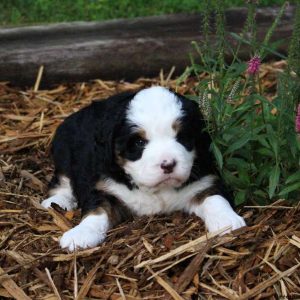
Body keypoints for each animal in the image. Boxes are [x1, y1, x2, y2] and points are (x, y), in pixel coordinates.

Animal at [41, 86, 245, 251]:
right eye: (139, 143)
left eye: (181, 137)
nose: (168, 164)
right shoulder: (103, 186)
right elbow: (96, 211)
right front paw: (81, 234)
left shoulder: (204, 180)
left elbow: (215, 198)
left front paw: (227, 220)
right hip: (64, 151)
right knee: (62, 179)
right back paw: (57, 201)